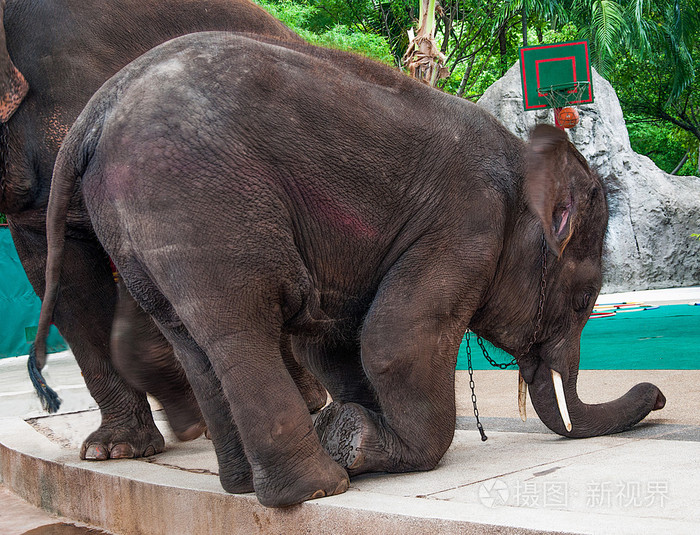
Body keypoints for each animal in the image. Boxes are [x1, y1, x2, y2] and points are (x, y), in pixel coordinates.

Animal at [34, 31, 668, 508]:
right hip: (202, 201)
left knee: (190, 340)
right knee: (240, 327)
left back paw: (242, 487)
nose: (658, 395)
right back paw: (316, 490)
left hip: (137, 229)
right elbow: (395, 341)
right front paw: (362, 443)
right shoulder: (467, 224)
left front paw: (356, 427)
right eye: (584, 300)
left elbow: (338, 344)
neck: (521, 156)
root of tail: (93, 117)